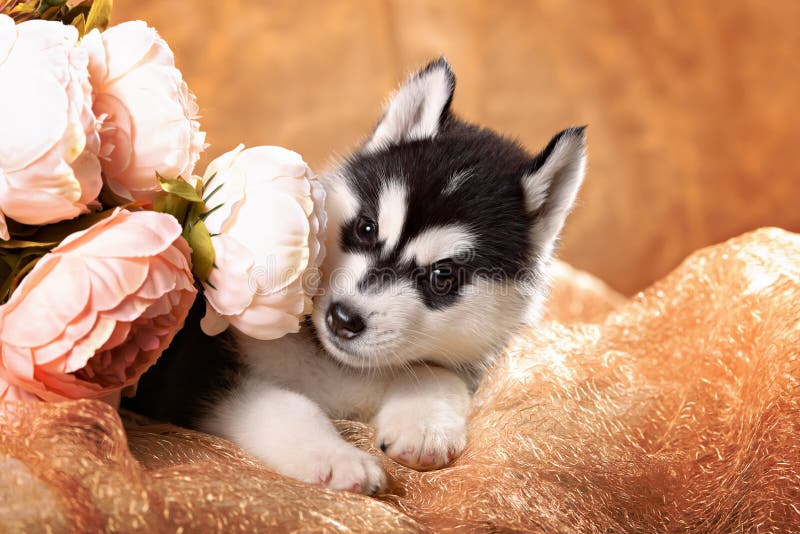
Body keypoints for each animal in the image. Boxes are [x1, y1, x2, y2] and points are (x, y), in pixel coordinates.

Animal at [128, 56, 584, 496]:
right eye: (366, 228)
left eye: (442, 276)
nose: (343, 319)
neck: (341, 368)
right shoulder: (195, 374)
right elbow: (286, 407)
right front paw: (337, 459)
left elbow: (437, 372)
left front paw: (424, 425)